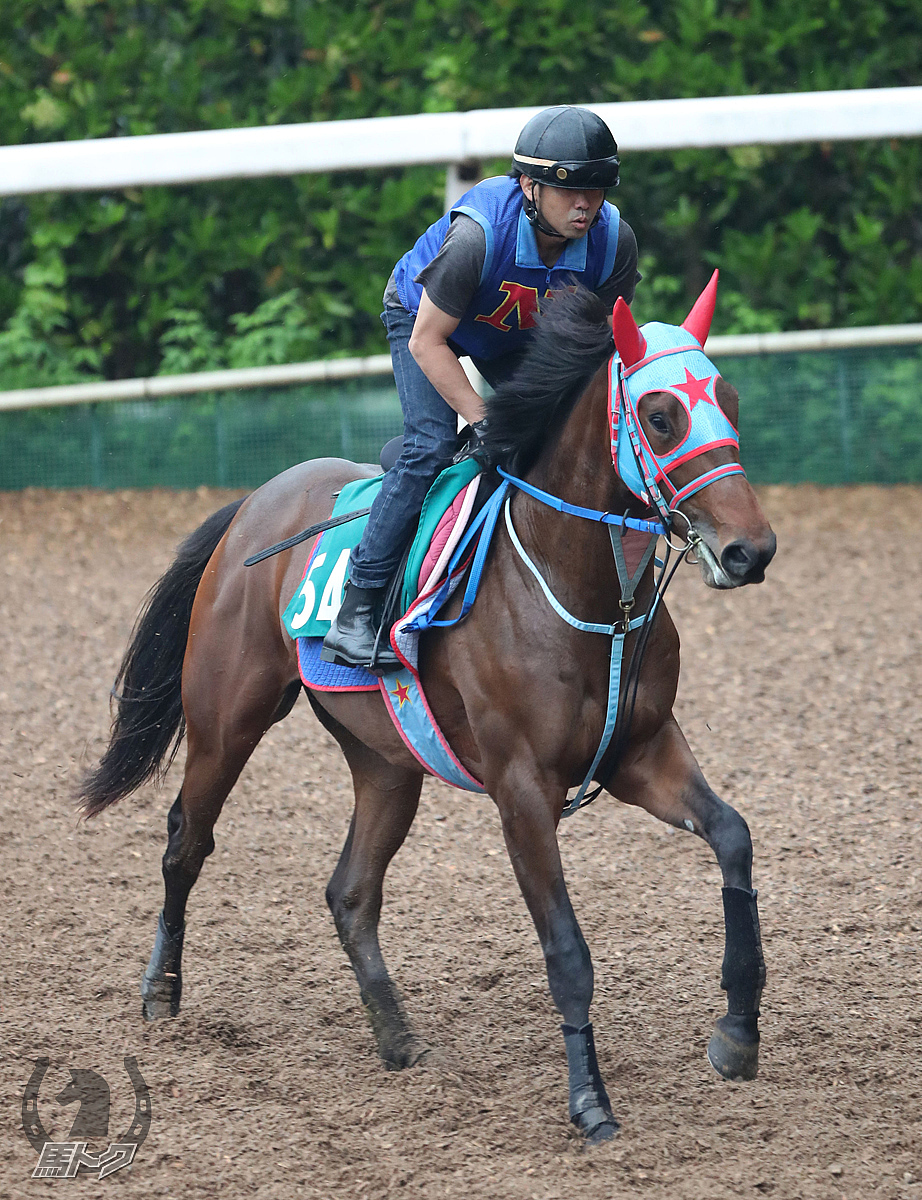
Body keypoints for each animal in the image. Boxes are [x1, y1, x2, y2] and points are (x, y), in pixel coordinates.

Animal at [75, 276, 773, 1147]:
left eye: (730, 398)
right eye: (659, 414)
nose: (751, 550)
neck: (586, 595)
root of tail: (252, 504)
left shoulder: (641, 753)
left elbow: (734, 838)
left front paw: (737, 1034)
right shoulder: (522, 790)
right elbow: (567, 950)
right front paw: (590, 1102)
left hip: (386, 762)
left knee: (349, 891)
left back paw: (396, 1035)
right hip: (225, 722)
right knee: (185, 844)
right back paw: (162, 991)